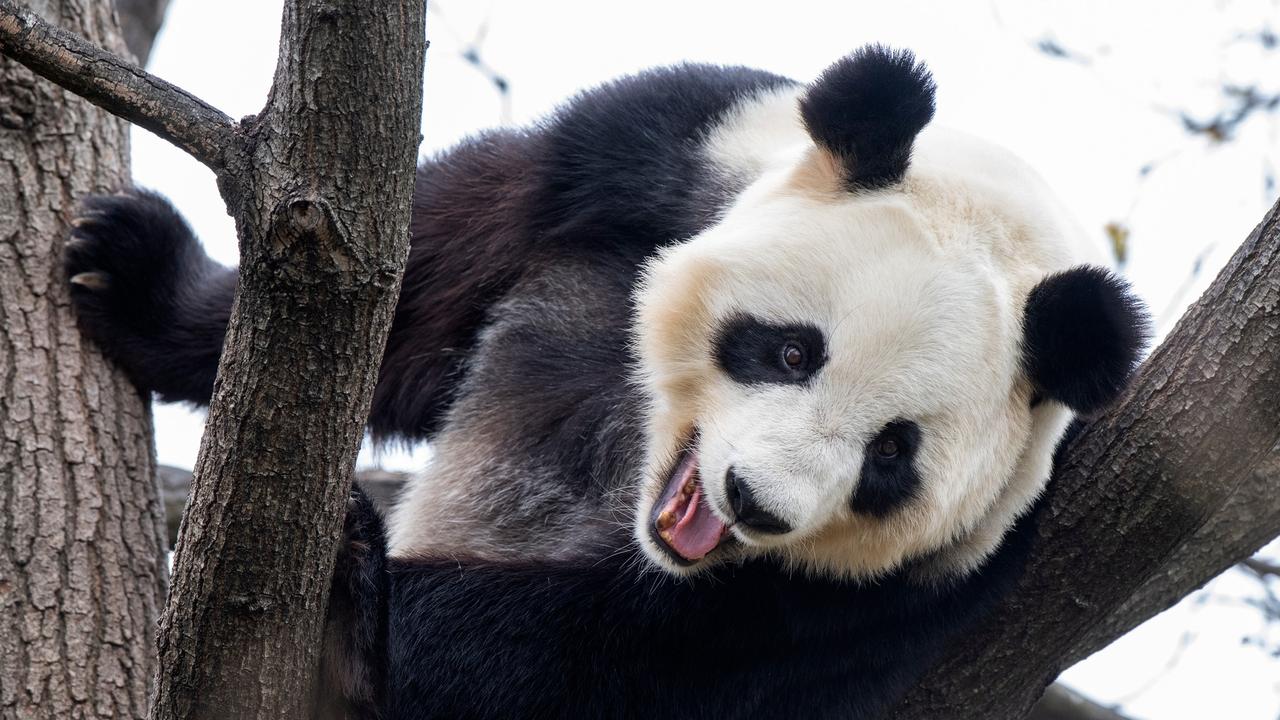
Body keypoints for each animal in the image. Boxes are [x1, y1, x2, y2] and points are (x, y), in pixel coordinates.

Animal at [64, 46, 1146, 717]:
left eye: (891, 456)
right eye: (792, 352)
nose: (755, 504)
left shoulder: (906, 591)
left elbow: (584, 665)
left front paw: (360, 605)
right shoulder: (653, 159)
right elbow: (410, 271)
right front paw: (129, 278)